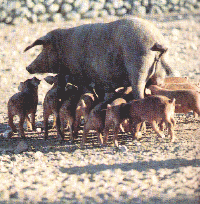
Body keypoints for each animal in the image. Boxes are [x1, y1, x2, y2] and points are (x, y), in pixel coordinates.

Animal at [24, 16, 175, 100]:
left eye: (44, 49)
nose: (27, 67)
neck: (64, 48)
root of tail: (156, 40)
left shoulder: (82, 76)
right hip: (159, 73)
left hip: (138, 65)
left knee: (139, 91)